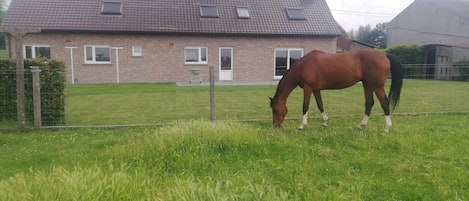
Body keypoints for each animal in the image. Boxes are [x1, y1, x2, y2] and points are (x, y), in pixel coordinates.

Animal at [270, 49, 402, 133]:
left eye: (275, 109)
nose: (276, 126)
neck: (303, 66)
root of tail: (384, 54)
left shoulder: (308, 88)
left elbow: (305, 107)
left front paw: (302, 126)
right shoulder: (316, 89)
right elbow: (320, 105)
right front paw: (324, 123)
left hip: (377, 86)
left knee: (385, 104)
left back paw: (386, 128)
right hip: (367, 84)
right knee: (369, 103)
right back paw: (360, 126)